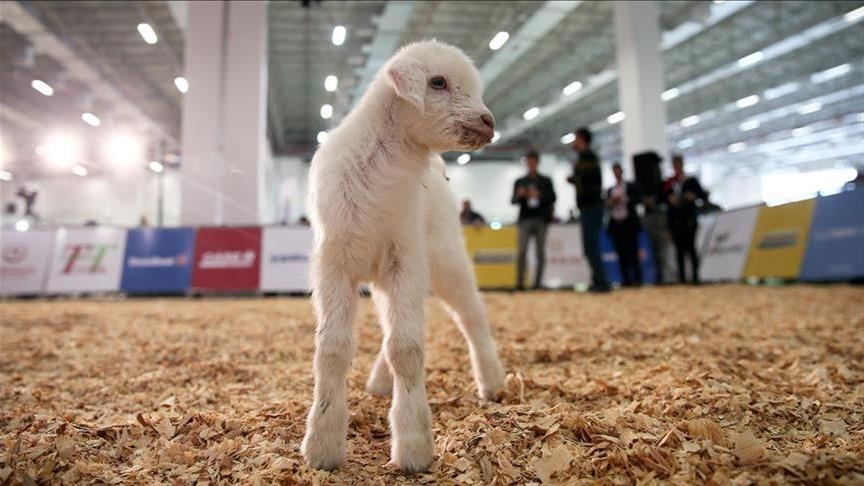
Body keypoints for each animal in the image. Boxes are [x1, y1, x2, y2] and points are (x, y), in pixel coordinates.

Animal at [300, 39, 506, 472]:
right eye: (438, 82)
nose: (488, 122)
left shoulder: (406, 259)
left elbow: (407, 349)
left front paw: (413, 446)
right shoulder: (334, 264)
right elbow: (332, 348)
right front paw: (322, 444)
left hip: (443, 257)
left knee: (472, 316)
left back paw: (492, 381)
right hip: (383, 276)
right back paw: (380, 383)